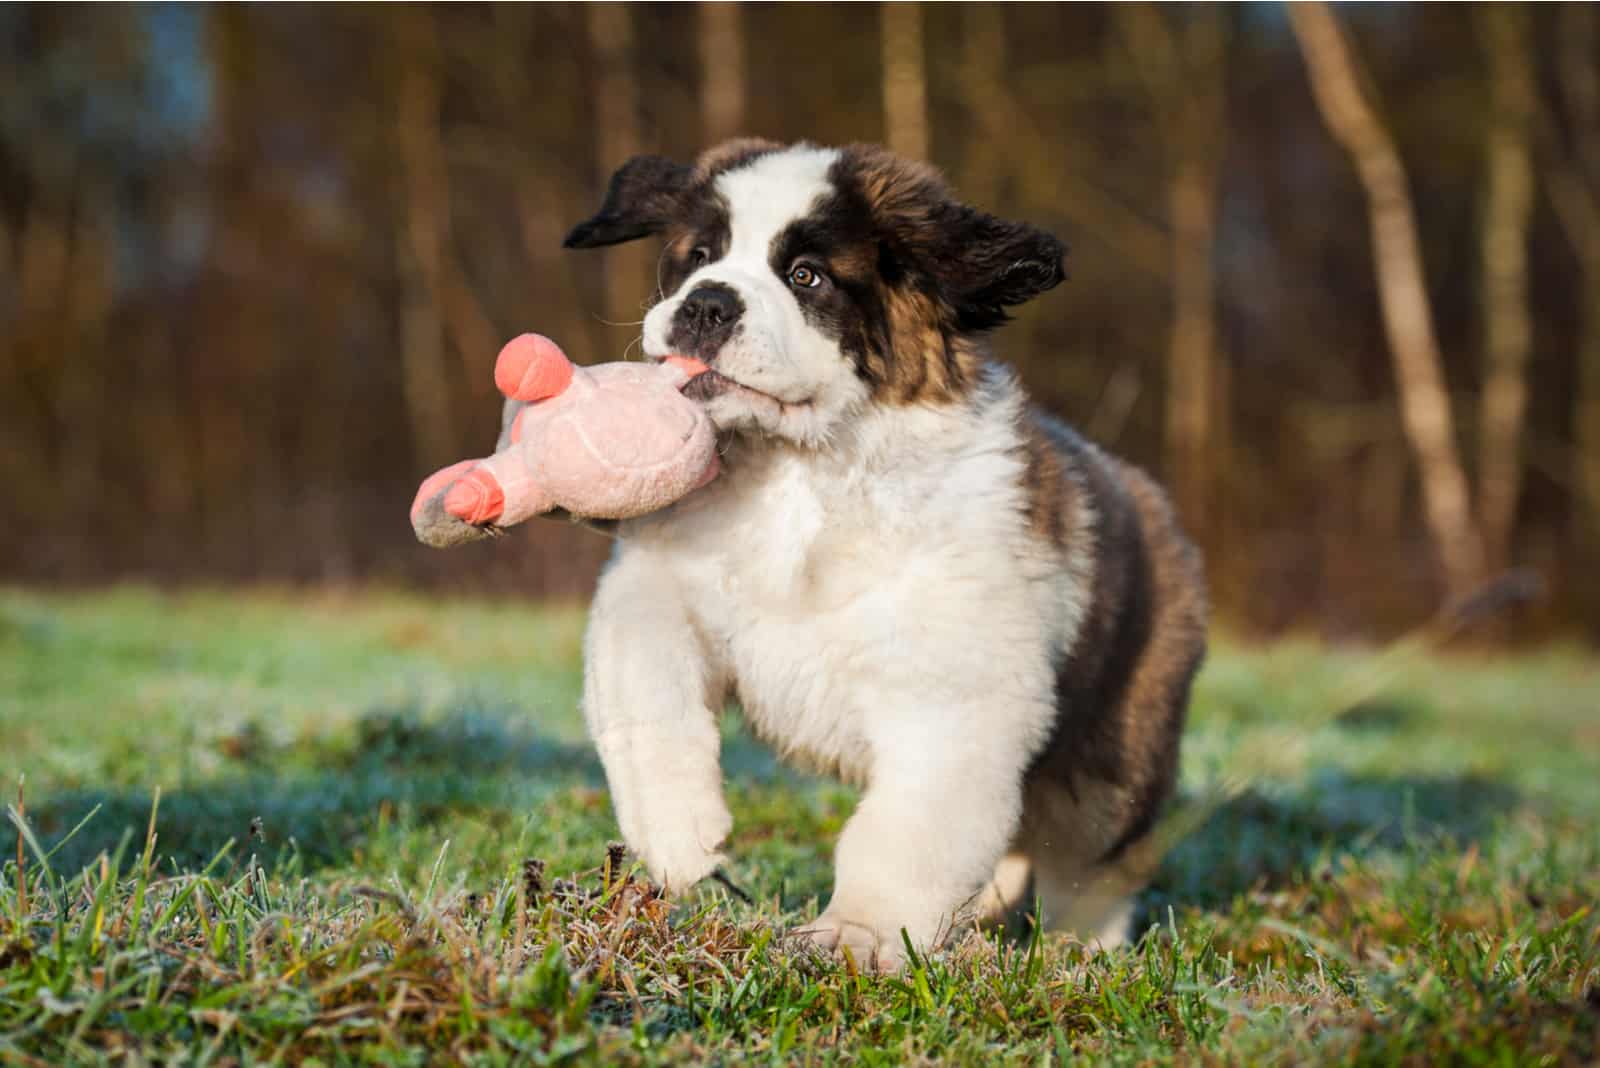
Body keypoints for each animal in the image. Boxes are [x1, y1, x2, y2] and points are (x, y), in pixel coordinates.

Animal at [556, 137, 1203, 972]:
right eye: (698, 257)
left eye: (806, 276)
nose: (705, 305)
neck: (800, 472)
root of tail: (1151, 501)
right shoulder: (656, 585)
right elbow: (645, 687)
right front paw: (675, 832)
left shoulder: (955, 698)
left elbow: (904, 833)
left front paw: (857, 936)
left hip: (1113, 759)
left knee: (1092, 864)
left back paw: (1081, 953)